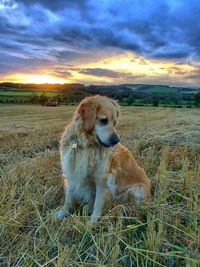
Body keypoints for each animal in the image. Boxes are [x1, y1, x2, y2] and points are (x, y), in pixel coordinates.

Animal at [54, 95, 150, 225]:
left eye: (115, 123)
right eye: (103, 120)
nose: (116, 140)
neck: (86, 145)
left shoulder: (102, 181)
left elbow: (98, 204)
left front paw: (91, 223)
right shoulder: (72, 172)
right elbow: (68, 198)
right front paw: (63, 212)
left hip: (136, 190)